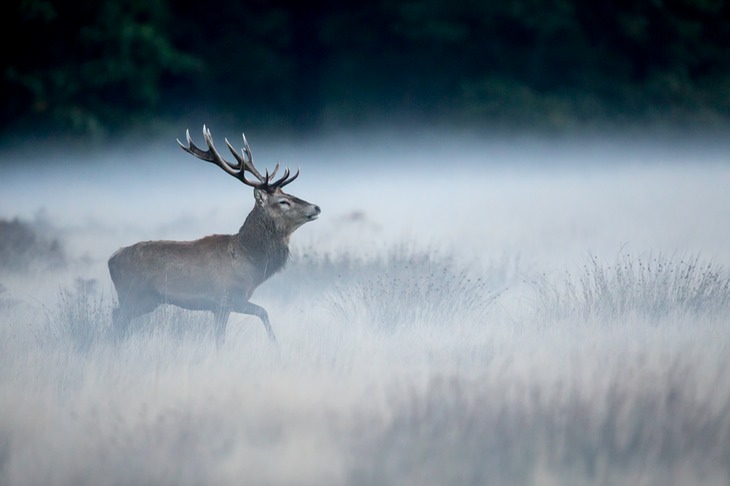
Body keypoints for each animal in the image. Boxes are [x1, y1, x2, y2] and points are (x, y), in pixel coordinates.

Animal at [109, 125, 320, 346]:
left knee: (117, 316)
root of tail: (111, 260)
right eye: (283, 201)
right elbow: (260, 314)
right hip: (133, 293)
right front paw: (275, 344)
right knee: (118, 317)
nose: (317, 207)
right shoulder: (226, 298)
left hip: (148, 300)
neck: (250, 262)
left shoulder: (222, 305)